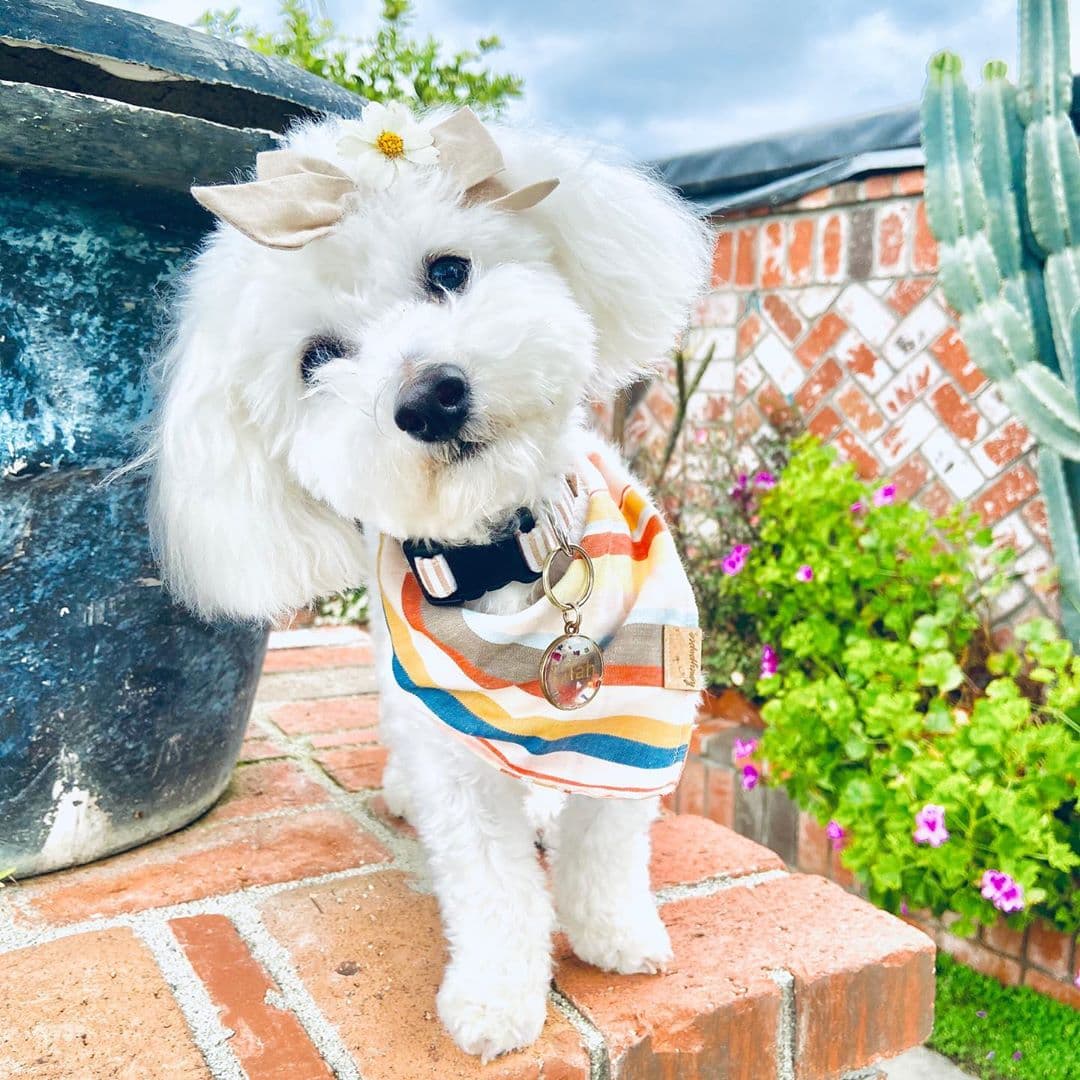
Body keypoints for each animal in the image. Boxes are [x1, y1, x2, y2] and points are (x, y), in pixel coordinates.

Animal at [150, 105, 708, 1058]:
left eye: (448, 270)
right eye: (316, 358)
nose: (429, 398)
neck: (515, 560)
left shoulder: (638, 721)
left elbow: (606, 840)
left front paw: (613, 932)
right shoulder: (455, 753)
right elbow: (490, 884)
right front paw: (495, 999)